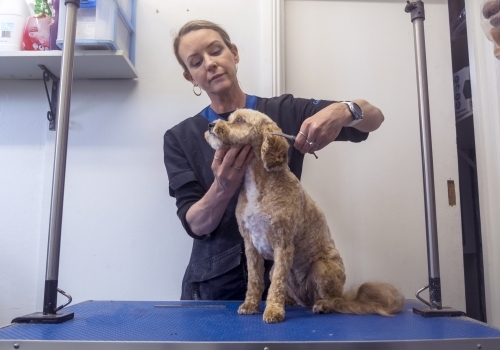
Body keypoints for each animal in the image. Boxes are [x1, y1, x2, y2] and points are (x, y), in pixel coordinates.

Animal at [205, 108, 404, 322]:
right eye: (230, 118)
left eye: (240, 120)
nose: (210, 125)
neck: (259, 183)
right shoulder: (251, 246)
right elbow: (254, 280)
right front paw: (250, 304)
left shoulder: (283, 244)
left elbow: (277, 284)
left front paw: (273, 310)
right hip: (276, 269)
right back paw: (290, 301)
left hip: (321, 267)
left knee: (334, 299)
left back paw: (322, 305)